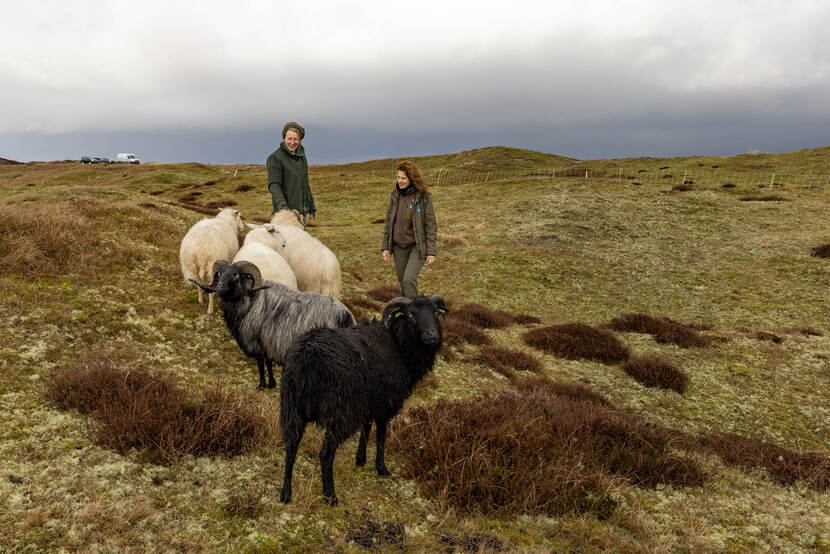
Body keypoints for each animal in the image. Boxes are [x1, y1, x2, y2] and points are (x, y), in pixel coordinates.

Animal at [280, 296, 448, 502]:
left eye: (435, 312)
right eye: (411, 314)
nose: (432, 335)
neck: (399, 345)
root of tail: (308, 358)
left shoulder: (368, 402)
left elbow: (366, 428)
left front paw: (360, 459)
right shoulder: (385, 404)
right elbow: (381, 436)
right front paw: (382, 469)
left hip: (292, 407)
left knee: (291, 447)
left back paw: (286, 494)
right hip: (340, 412)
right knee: (325, 454)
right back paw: (330, 496)